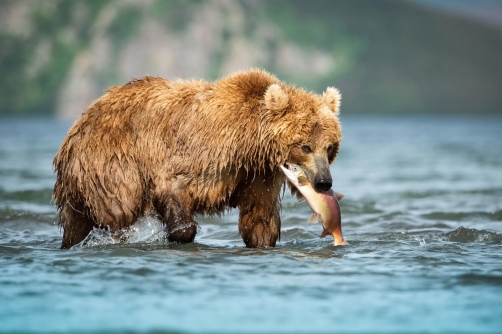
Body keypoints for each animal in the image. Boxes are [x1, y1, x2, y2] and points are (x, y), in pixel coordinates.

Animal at [53, 69, 342, 249]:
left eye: (329, 147)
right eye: (305, 146)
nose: (324, 182)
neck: (249, 143)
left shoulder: (259, 175)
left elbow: (259, 219)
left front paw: (261, 239)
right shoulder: (205, 151)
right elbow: (172, 184)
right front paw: (177, 234)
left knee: (76, 224)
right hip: (110, 161)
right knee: (119, 209)